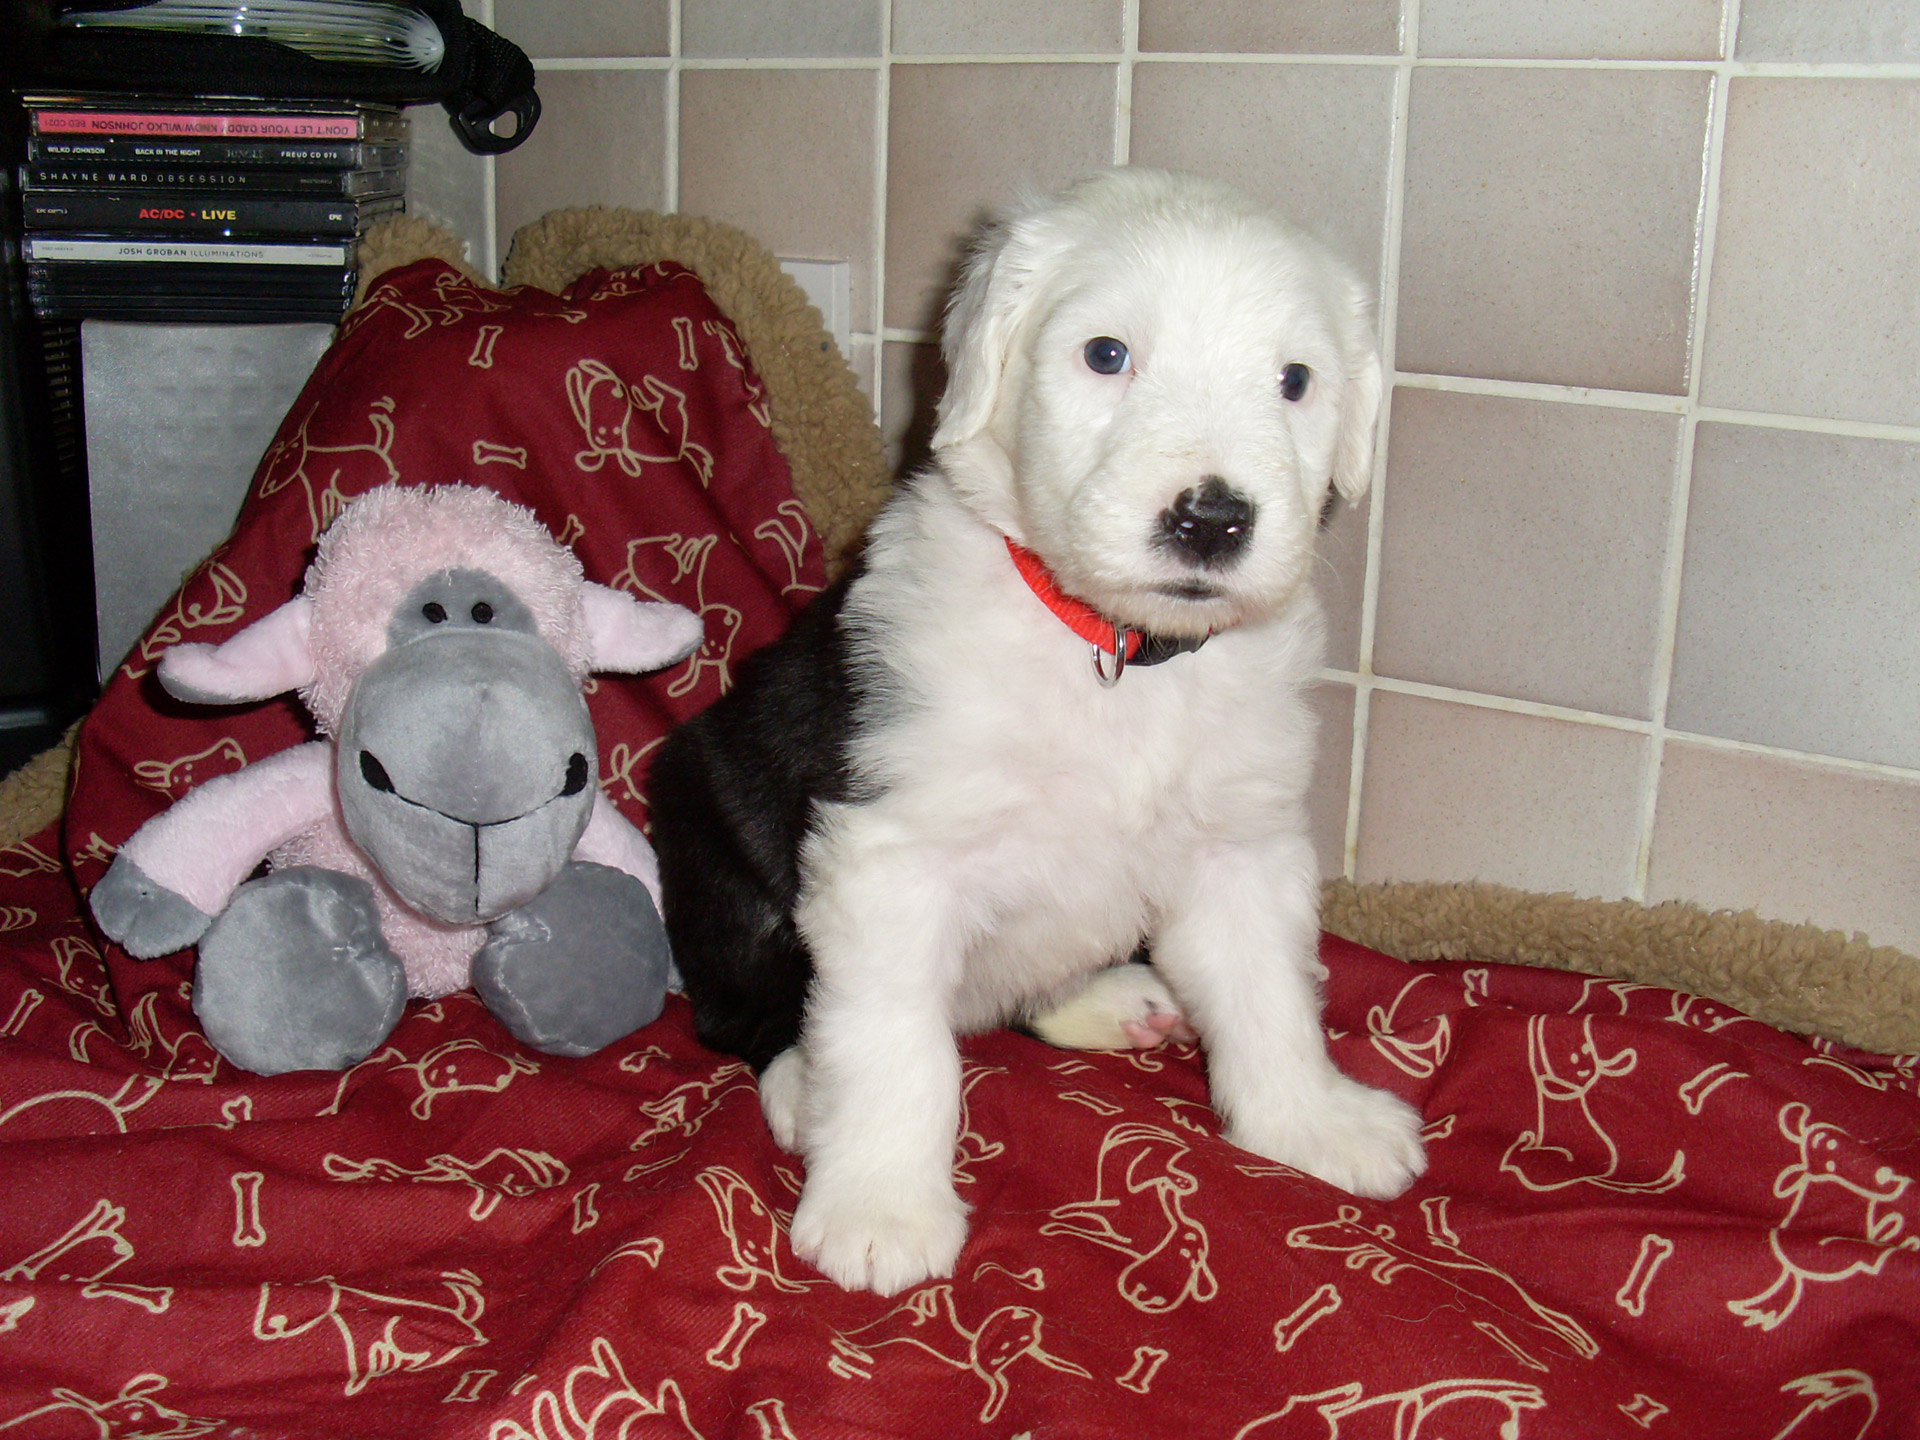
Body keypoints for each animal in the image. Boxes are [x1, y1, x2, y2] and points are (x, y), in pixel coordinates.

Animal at [652, 166, 1420, 1297]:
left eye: (1295, 379)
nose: (1212, 518)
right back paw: (802, 1092)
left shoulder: (1240, 845)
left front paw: (1310, 1123)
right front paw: (880, 1207)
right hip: (712, 818)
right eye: (1106, 354)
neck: (1117, 652)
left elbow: (1270, 995)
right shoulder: (893, 854)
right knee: (746, 1010)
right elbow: (893, 1041)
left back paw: (1116, 1000)